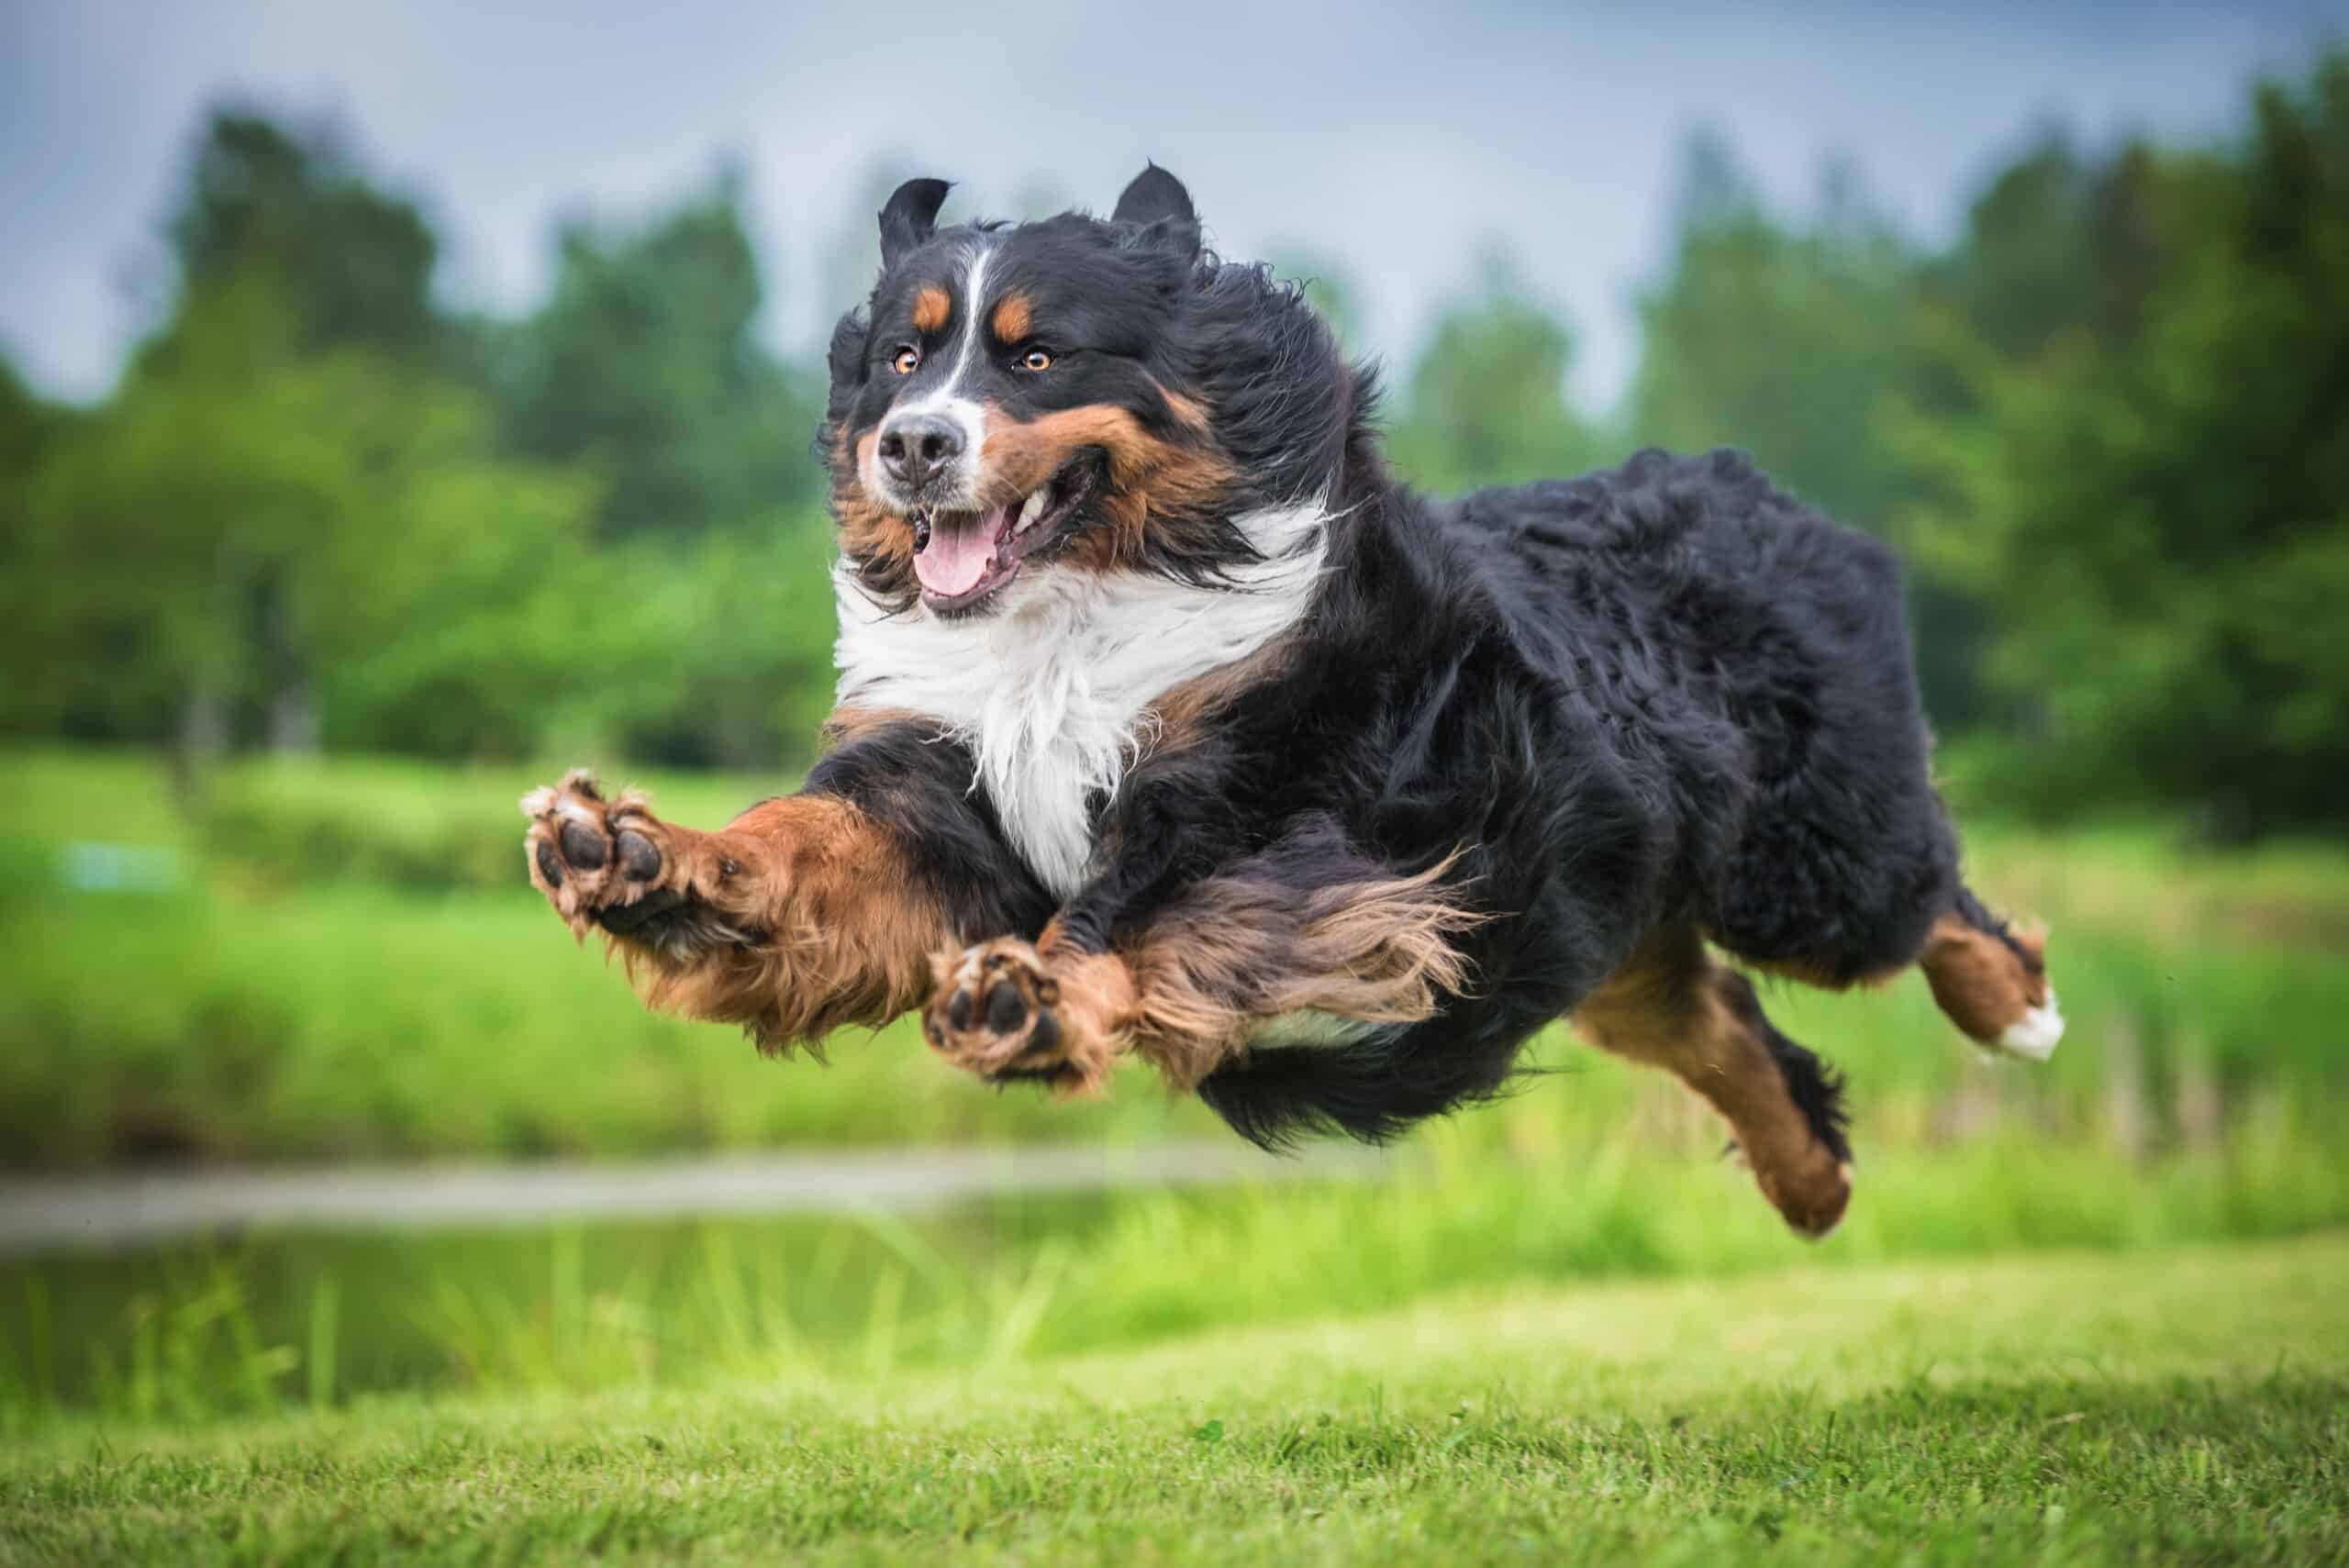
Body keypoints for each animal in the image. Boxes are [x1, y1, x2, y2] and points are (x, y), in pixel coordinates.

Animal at [529, 161, 2057, 1239]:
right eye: (903, 359)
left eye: (1036, 356)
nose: (910, 445)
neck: (1070, 624)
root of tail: (1761, 490)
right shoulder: (935, 795)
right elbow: (794, 849)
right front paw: (631, 855)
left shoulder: (1275, 809)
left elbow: (1143, 916)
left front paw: (1032, 998)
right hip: (1597, 923)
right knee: (1719, 1020)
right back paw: (1811, 1183)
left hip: (1809, 861)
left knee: (1931, 899)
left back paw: (2016, 1011)